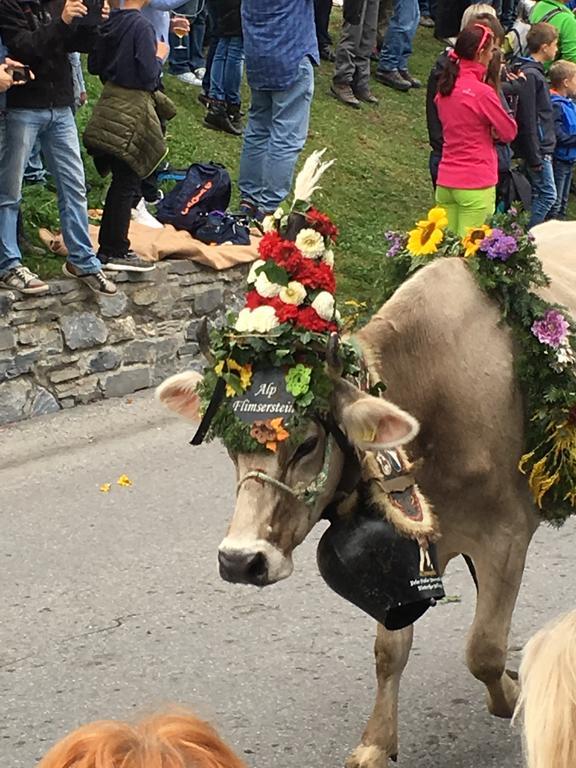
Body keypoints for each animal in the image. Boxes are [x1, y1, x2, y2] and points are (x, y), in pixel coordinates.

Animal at [158, 222, 576, 768]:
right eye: (229, 443)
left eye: (308, 443)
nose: (239, 561)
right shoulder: (412, 549)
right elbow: (389, 651)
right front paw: (377, 741)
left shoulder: (506, 535)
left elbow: (483, 649)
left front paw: (512, 693)